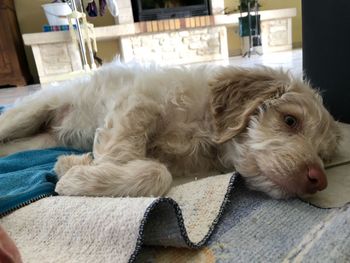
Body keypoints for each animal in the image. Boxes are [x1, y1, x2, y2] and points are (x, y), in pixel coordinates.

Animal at [0, 62, 340, 198]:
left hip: (36, 141)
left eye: (324, 157)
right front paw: (81, 175)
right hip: (28, 113)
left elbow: (157, 172)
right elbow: (136, 160)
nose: (319, 180)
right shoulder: (138, 100)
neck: (203, 127)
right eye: (290, 121)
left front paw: (71, 165)